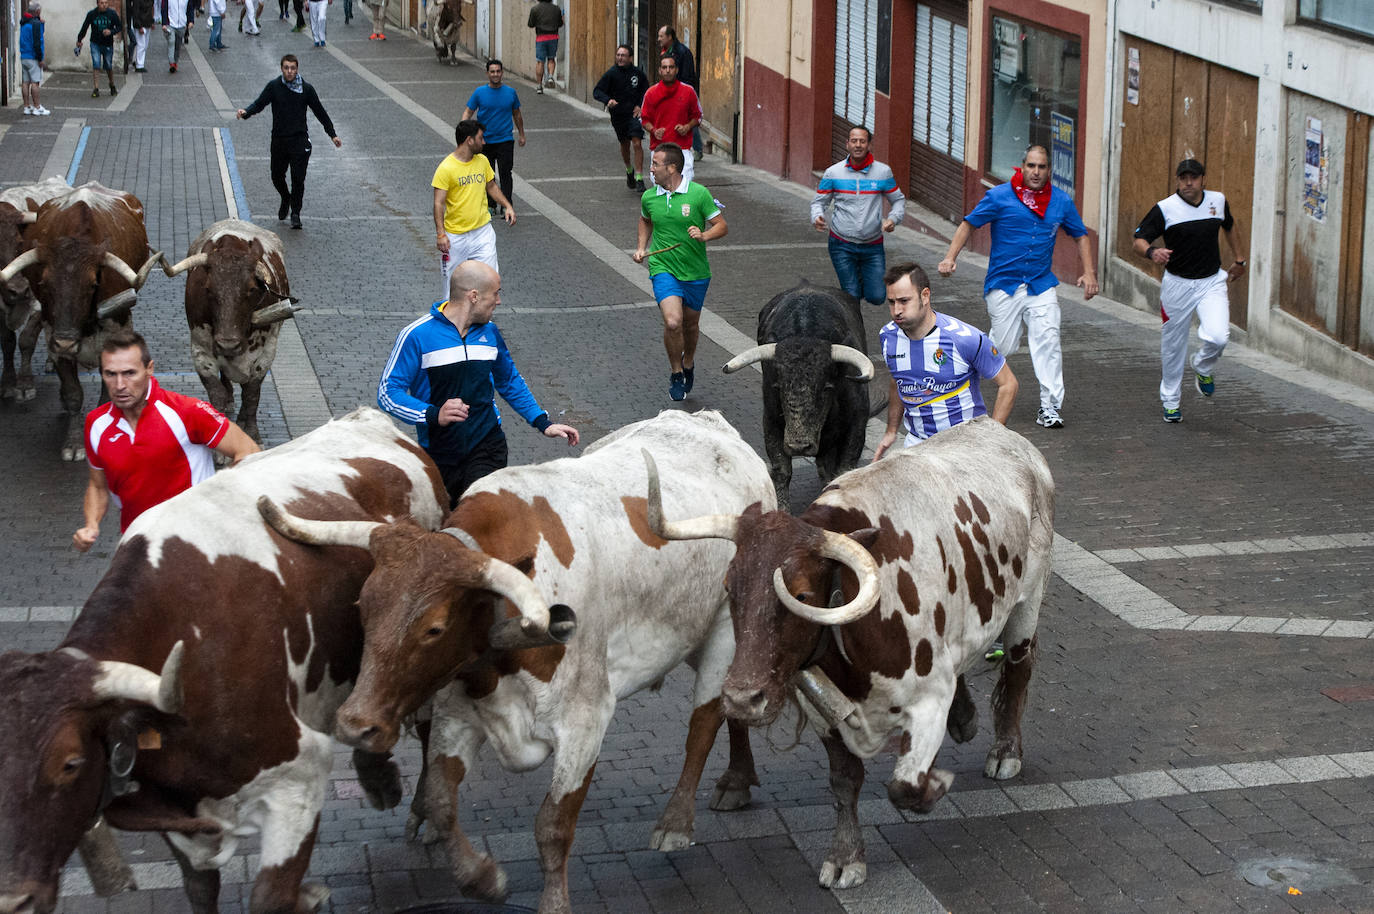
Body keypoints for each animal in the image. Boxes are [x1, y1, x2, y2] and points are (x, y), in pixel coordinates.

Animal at [643, 417, 1049, 885]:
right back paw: (965, 719)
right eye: (730, 589)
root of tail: (1003, 434)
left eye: (801, 594)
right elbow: (844, 781)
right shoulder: (826, 714)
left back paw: (1006, 752)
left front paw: (936, 785)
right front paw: (845, 855)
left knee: (1018, 669)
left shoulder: (930, 698)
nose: (742, 699)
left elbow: (904, 786)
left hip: (1027, 603)